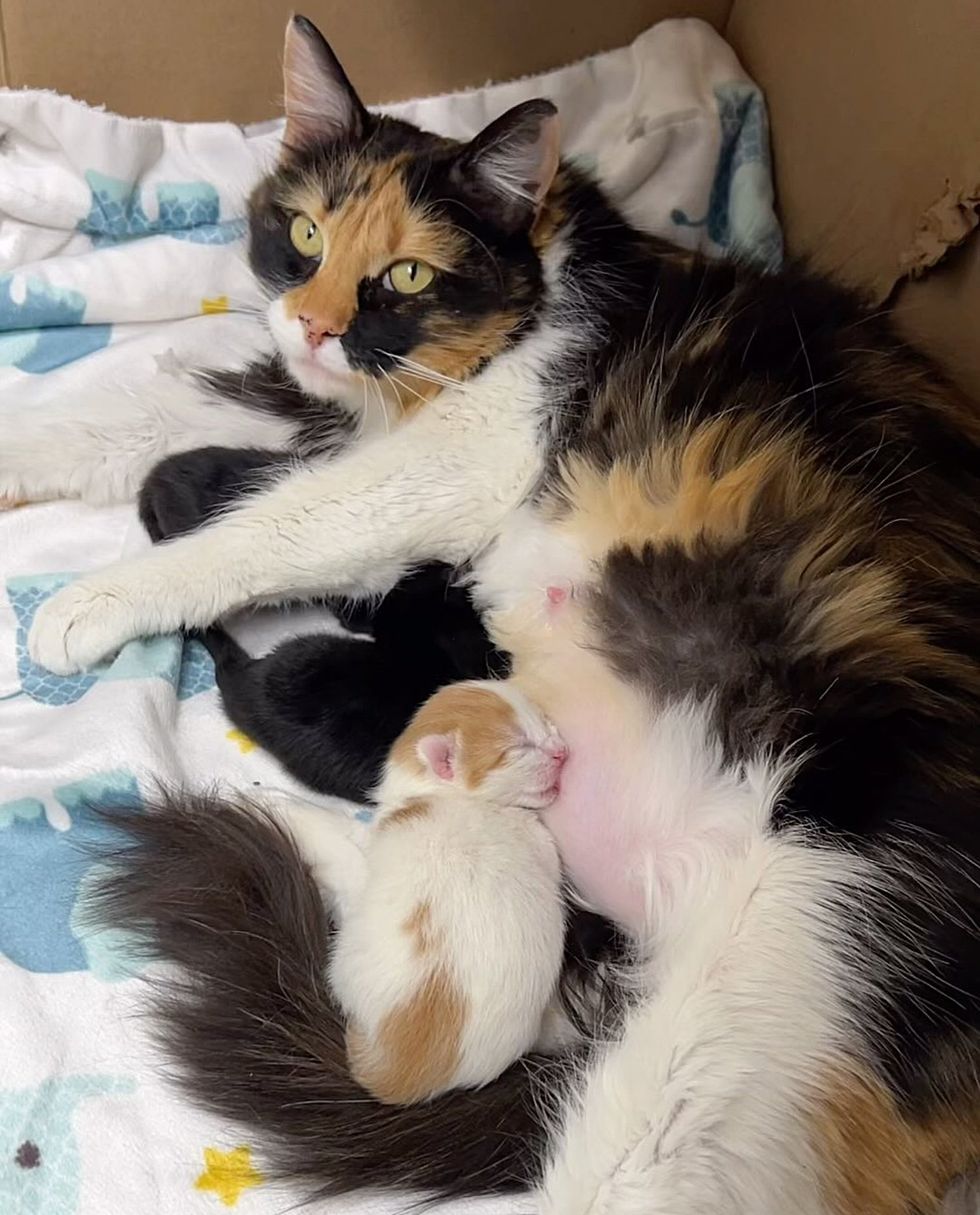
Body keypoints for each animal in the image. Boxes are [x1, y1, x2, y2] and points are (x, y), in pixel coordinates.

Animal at [325, 680, 568, 1108]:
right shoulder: (538, 838)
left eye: (543, 721)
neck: (443, 794)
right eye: (518, 747)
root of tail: (404, 1075)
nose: (561, 751)